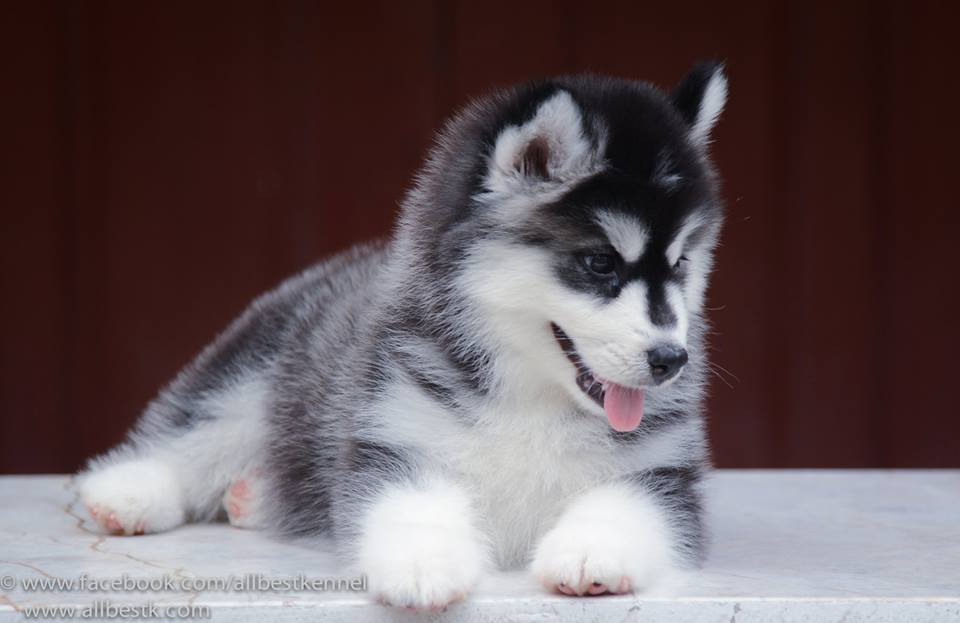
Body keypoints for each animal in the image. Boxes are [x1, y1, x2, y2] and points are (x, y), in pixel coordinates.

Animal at [77, 62, 728, 610]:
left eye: (680, 265)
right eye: (599, 263)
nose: (671, 359)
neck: (530, 397)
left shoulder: (659, 473)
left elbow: (625, 507)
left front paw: (592, 551)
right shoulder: (398, 435)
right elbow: (413, 509)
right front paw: (424, 567)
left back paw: (253, 498)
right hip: (255, 372)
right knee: (195, 429)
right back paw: (129, 492)